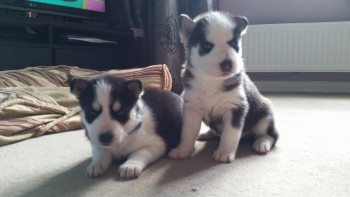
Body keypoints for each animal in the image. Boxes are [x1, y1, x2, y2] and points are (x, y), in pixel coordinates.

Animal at [168, 11, 280, 162]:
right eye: (207, 46)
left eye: (233, 43)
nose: (227, 64)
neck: (212, 82)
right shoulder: (192, 107)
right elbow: (188, 132)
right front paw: (183, 149)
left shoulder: (235, 108)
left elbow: (229, 134)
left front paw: (225, 152)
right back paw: (208, 134)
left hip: (264, 116)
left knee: (272, 135)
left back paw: (262, 143)